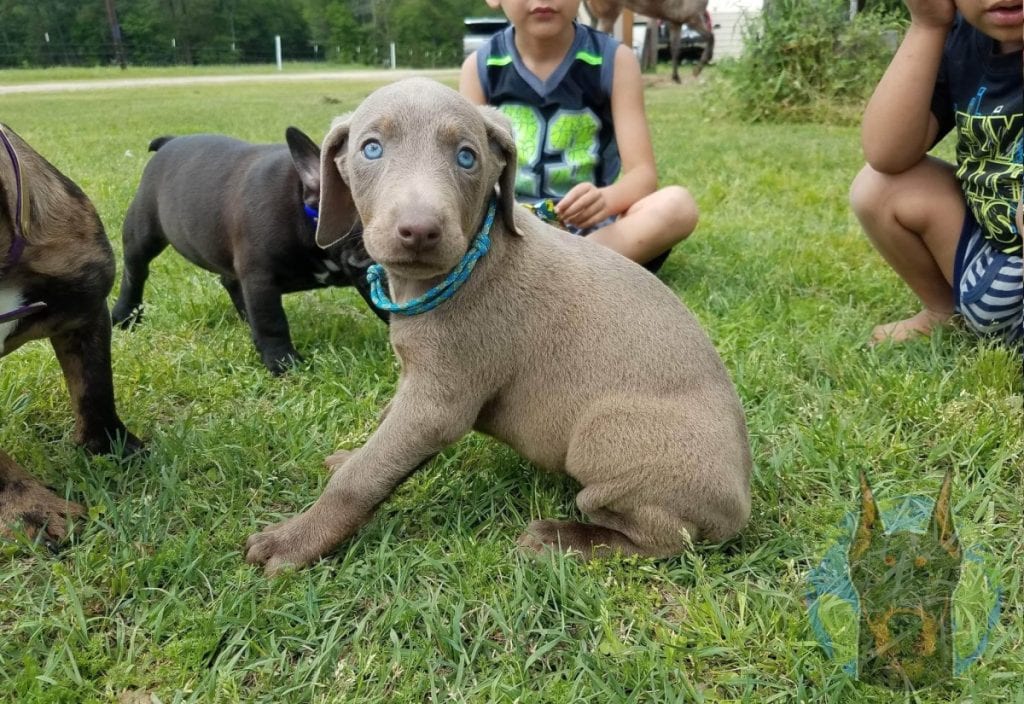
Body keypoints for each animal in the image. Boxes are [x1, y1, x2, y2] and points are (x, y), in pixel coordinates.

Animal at [112, 129, 385, 376]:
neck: (307, 215)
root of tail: (170, 141)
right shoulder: (260, 279)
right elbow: (272, 322)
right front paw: (283, 363)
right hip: (143, 232)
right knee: (135, 272)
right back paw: (124, 316)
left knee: (230, 281)